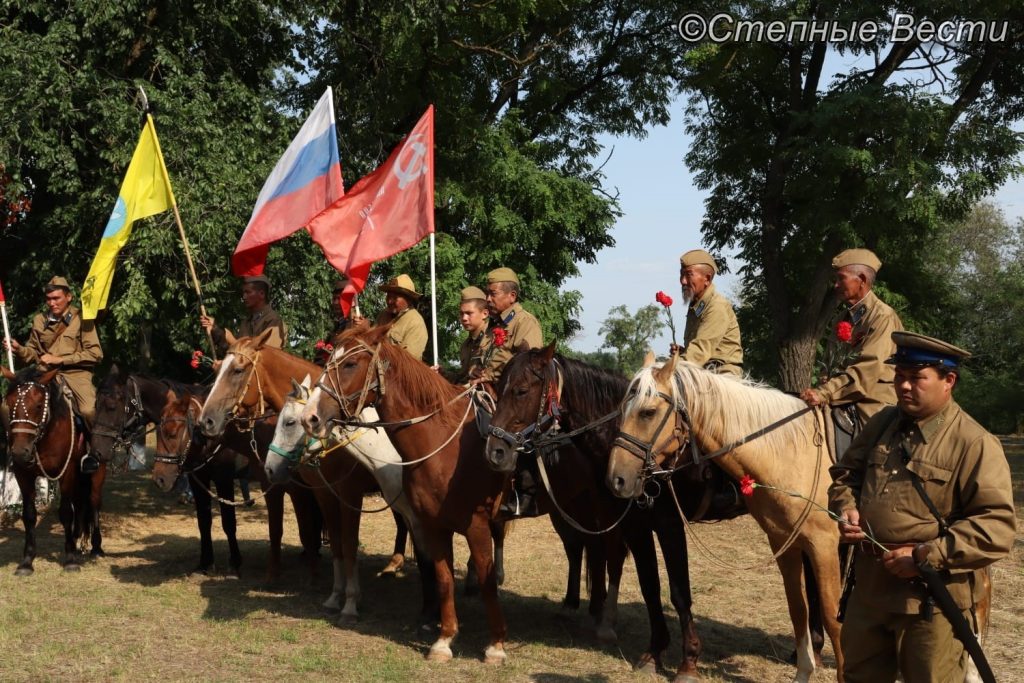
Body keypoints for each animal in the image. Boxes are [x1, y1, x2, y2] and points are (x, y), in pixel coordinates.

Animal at [1, 366, 106, 573]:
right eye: (9, 403)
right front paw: (27, 561)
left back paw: (96, 547)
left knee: (94, 502)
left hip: (96, 474)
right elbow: (29, 515)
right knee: (80, 504)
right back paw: (77, 540)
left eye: (38, 405)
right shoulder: (23, 475)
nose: (20, 452)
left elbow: (65, 512)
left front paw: (70, 559)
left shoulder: (67, 473)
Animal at [262, 376, 438, 626]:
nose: (269, 469)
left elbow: (350, 544)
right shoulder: (326, 495)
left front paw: (351, 605)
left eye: (289, 422)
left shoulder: (351, 496)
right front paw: (336, 597)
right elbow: (337, 543)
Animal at [303, 327, 512, 663]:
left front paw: (495, 645)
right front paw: (444, 639)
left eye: (350, 364)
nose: (310, 418)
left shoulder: (475, 525)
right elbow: (442, 578)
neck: (443, 444)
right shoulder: (432, 524)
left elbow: (487, 579)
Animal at [606, 356, 839, 679]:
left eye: (648, 412)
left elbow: (678, 592)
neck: (794, 452)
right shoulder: (786, 541)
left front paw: (686, 663)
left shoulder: (824, 543)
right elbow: (797, 608)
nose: (617, 479)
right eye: (620, 410)